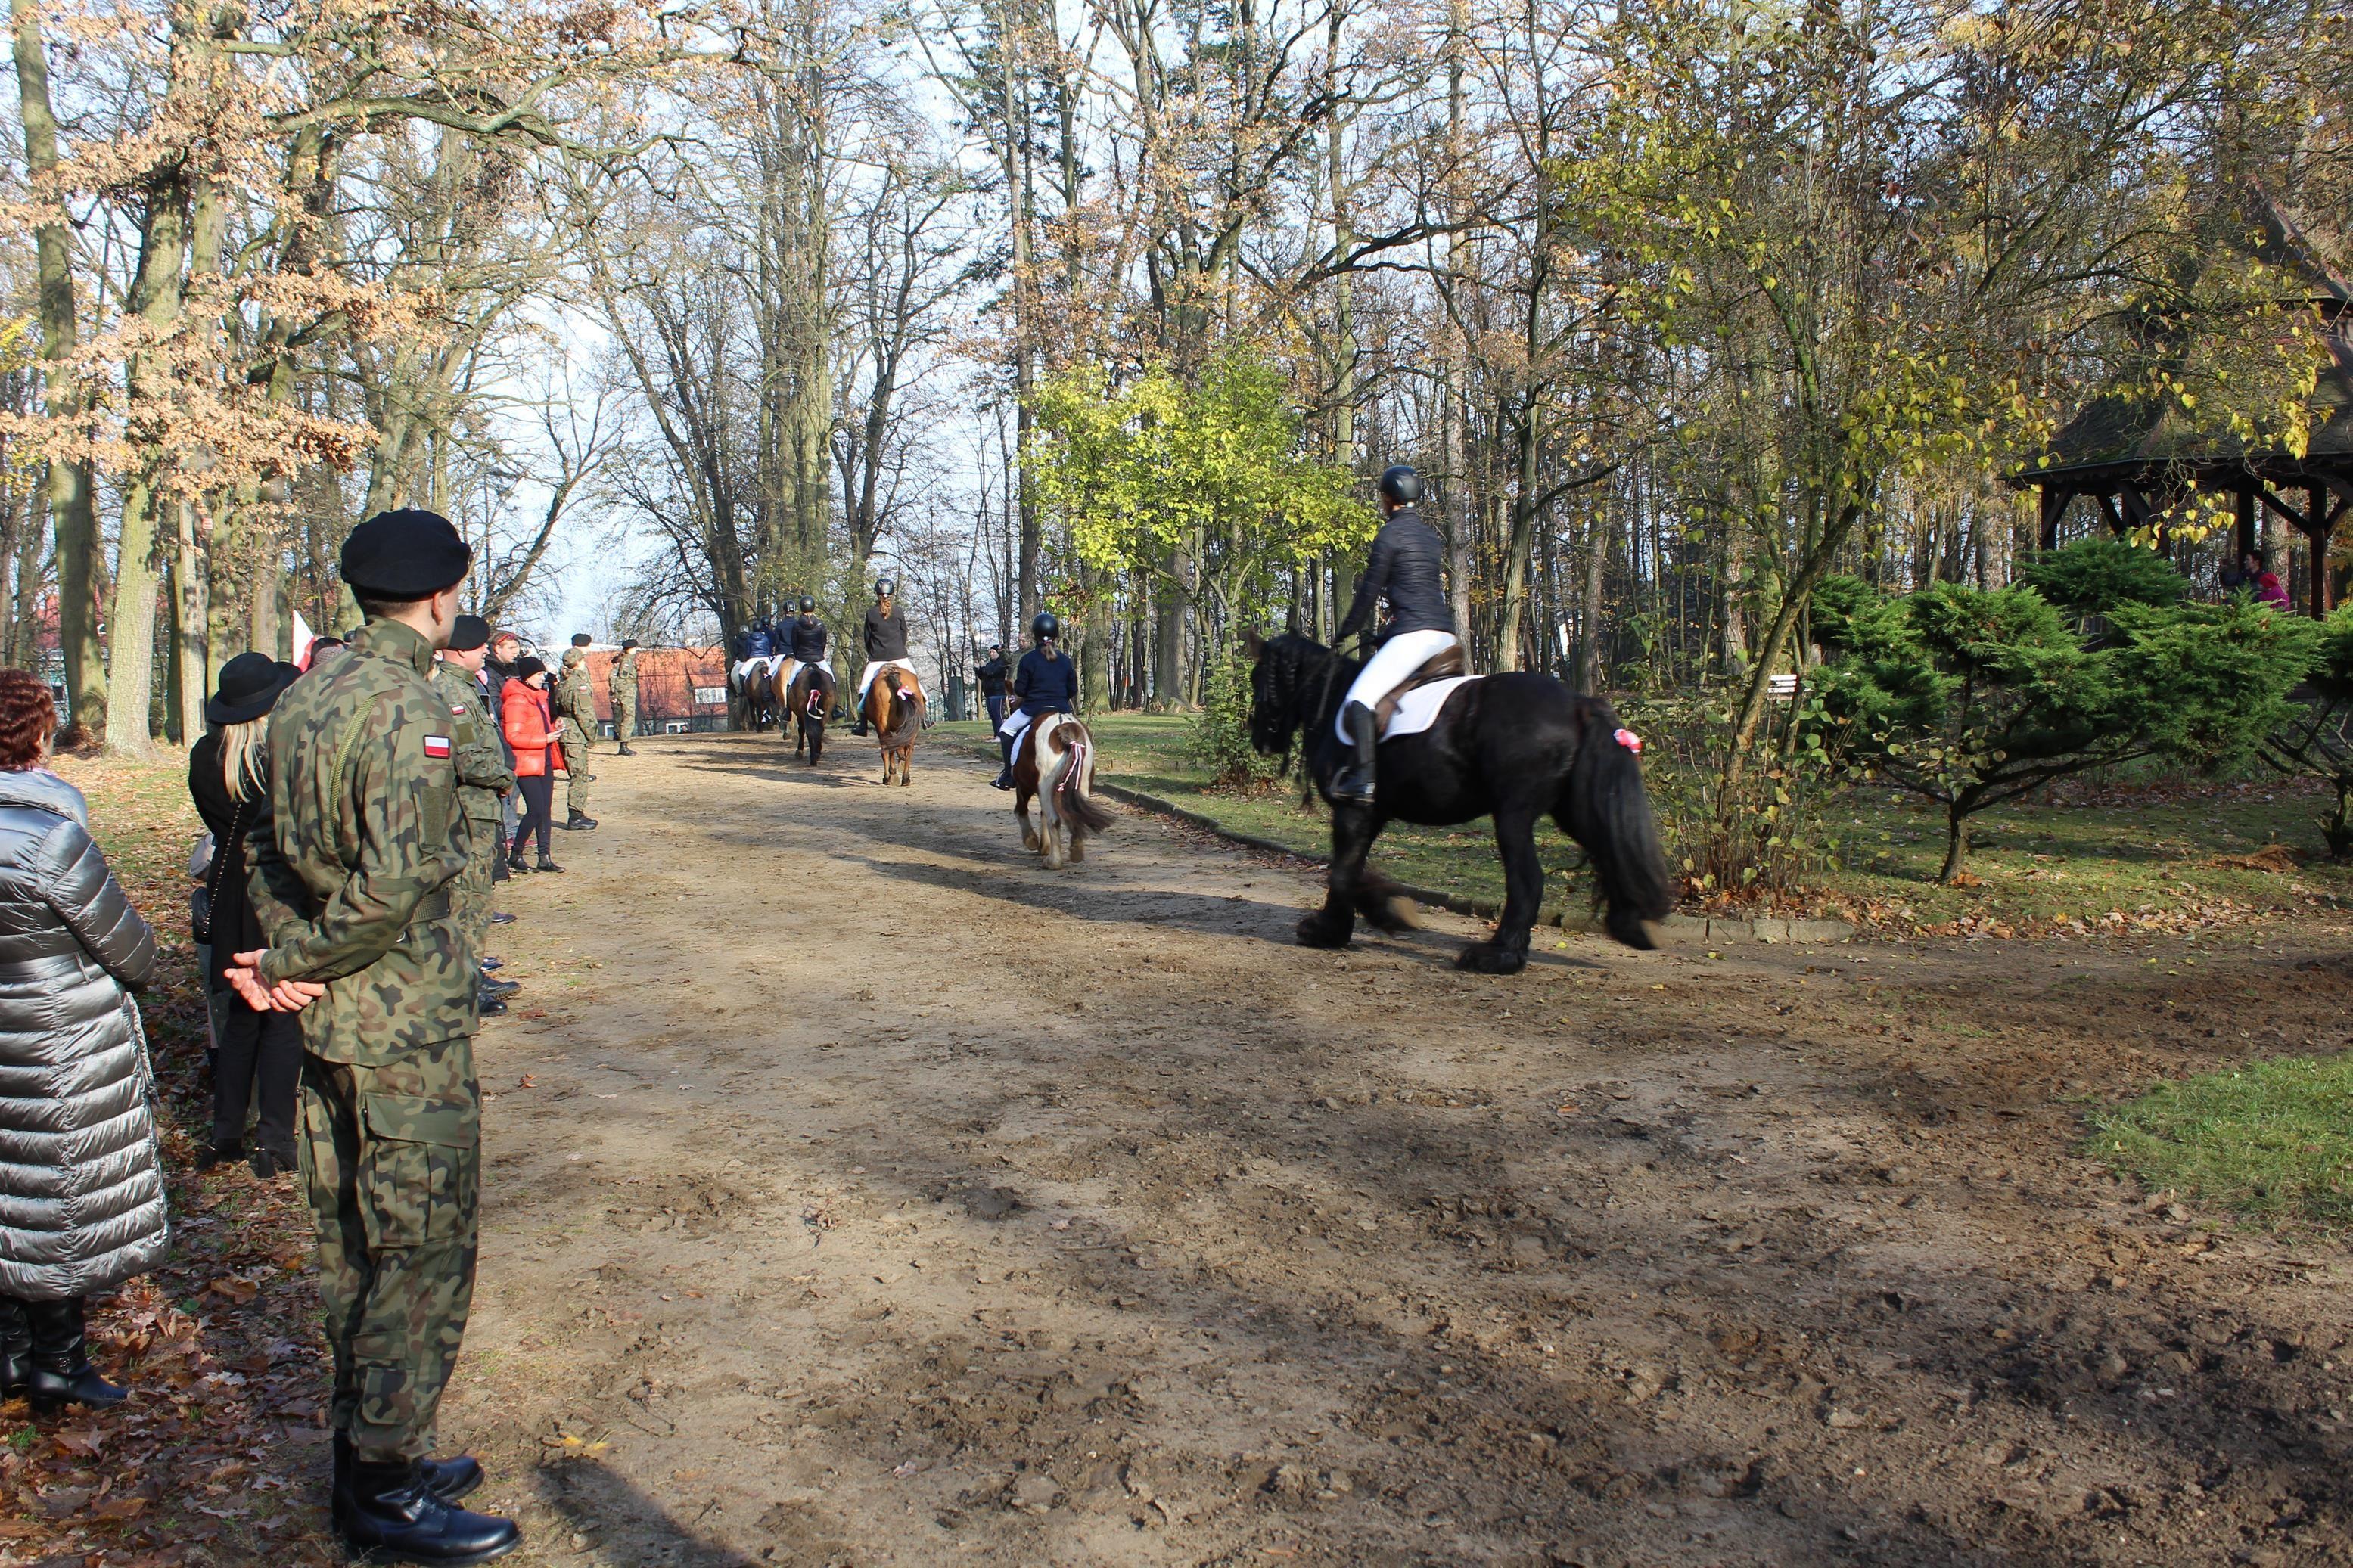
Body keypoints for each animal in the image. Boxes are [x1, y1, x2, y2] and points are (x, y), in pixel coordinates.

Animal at [861, 667, 922, 785]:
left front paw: (892, 772)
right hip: (911, 727)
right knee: (908, 748)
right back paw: (905, 778)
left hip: (882, 725)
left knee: (887, 749)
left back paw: (889, 777)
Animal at [1012, 714, 1110, 869]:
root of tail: (1063, 723)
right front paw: (1043, 846)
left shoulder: (1023, 785)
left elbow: (1021, 810)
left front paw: (1032, 841)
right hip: (1082, 783)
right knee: (1074, 814)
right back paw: (1076, 852)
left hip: (1044, 785)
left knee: (1053, 819)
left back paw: (1054, 862)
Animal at [1251, 629, 1675, 973]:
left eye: (1258, 678)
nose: (1260, 741)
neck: (1335, 698)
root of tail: (1577, 703)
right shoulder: (1371, 815)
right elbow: (1350, 868)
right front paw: (1373, 914)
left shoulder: (1352, 811)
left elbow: (1341, 871)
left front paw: (1339, 927)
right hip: (1570, 810)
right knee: (1607, 847)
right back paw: (1636, 924)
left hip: (1513, 815)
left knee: (1527, 880)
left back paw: (1498, 956)